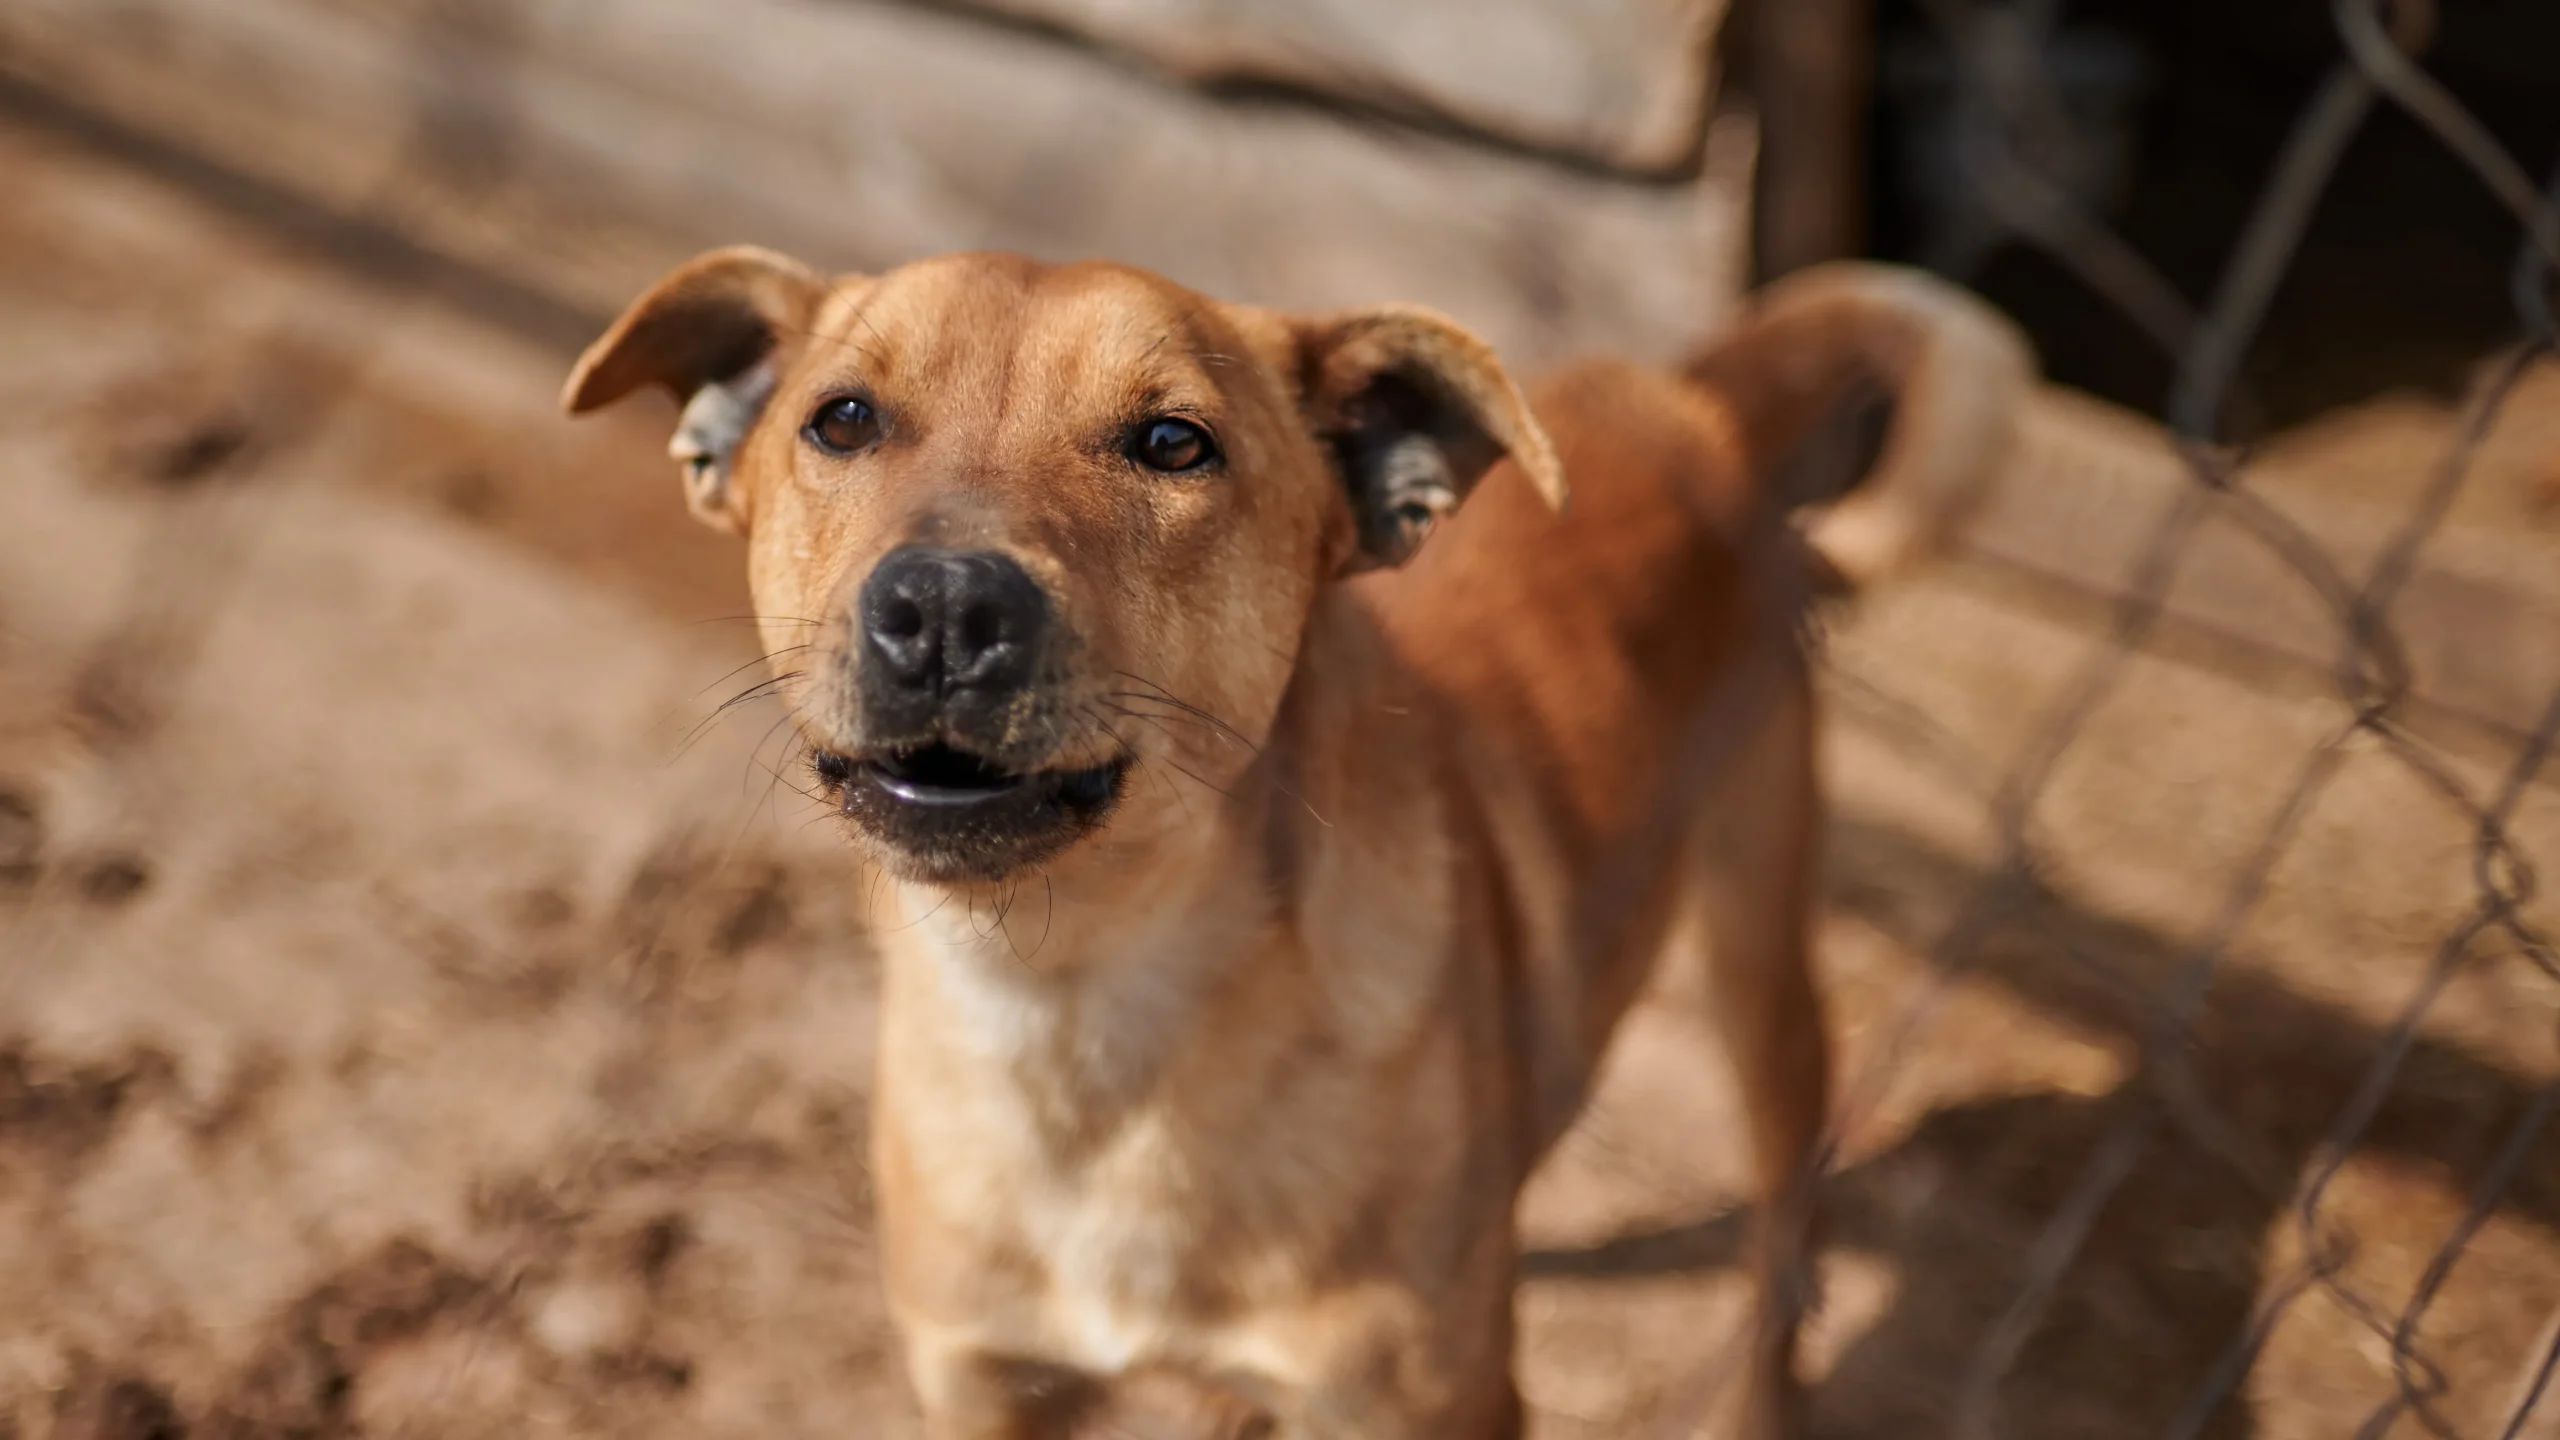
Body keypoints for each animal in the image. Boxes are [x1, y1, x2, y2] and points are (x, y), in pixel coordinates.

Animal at [565, 243, 2037, 1424]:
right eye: (844, 420)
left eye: (1173, 443)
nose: (941, 609)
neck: (1085, 1021)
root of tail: (1682, 407)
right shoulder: (984, 1381)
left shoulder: (1438, 1408)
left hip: (1761, 961)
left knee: (1784, 1238)